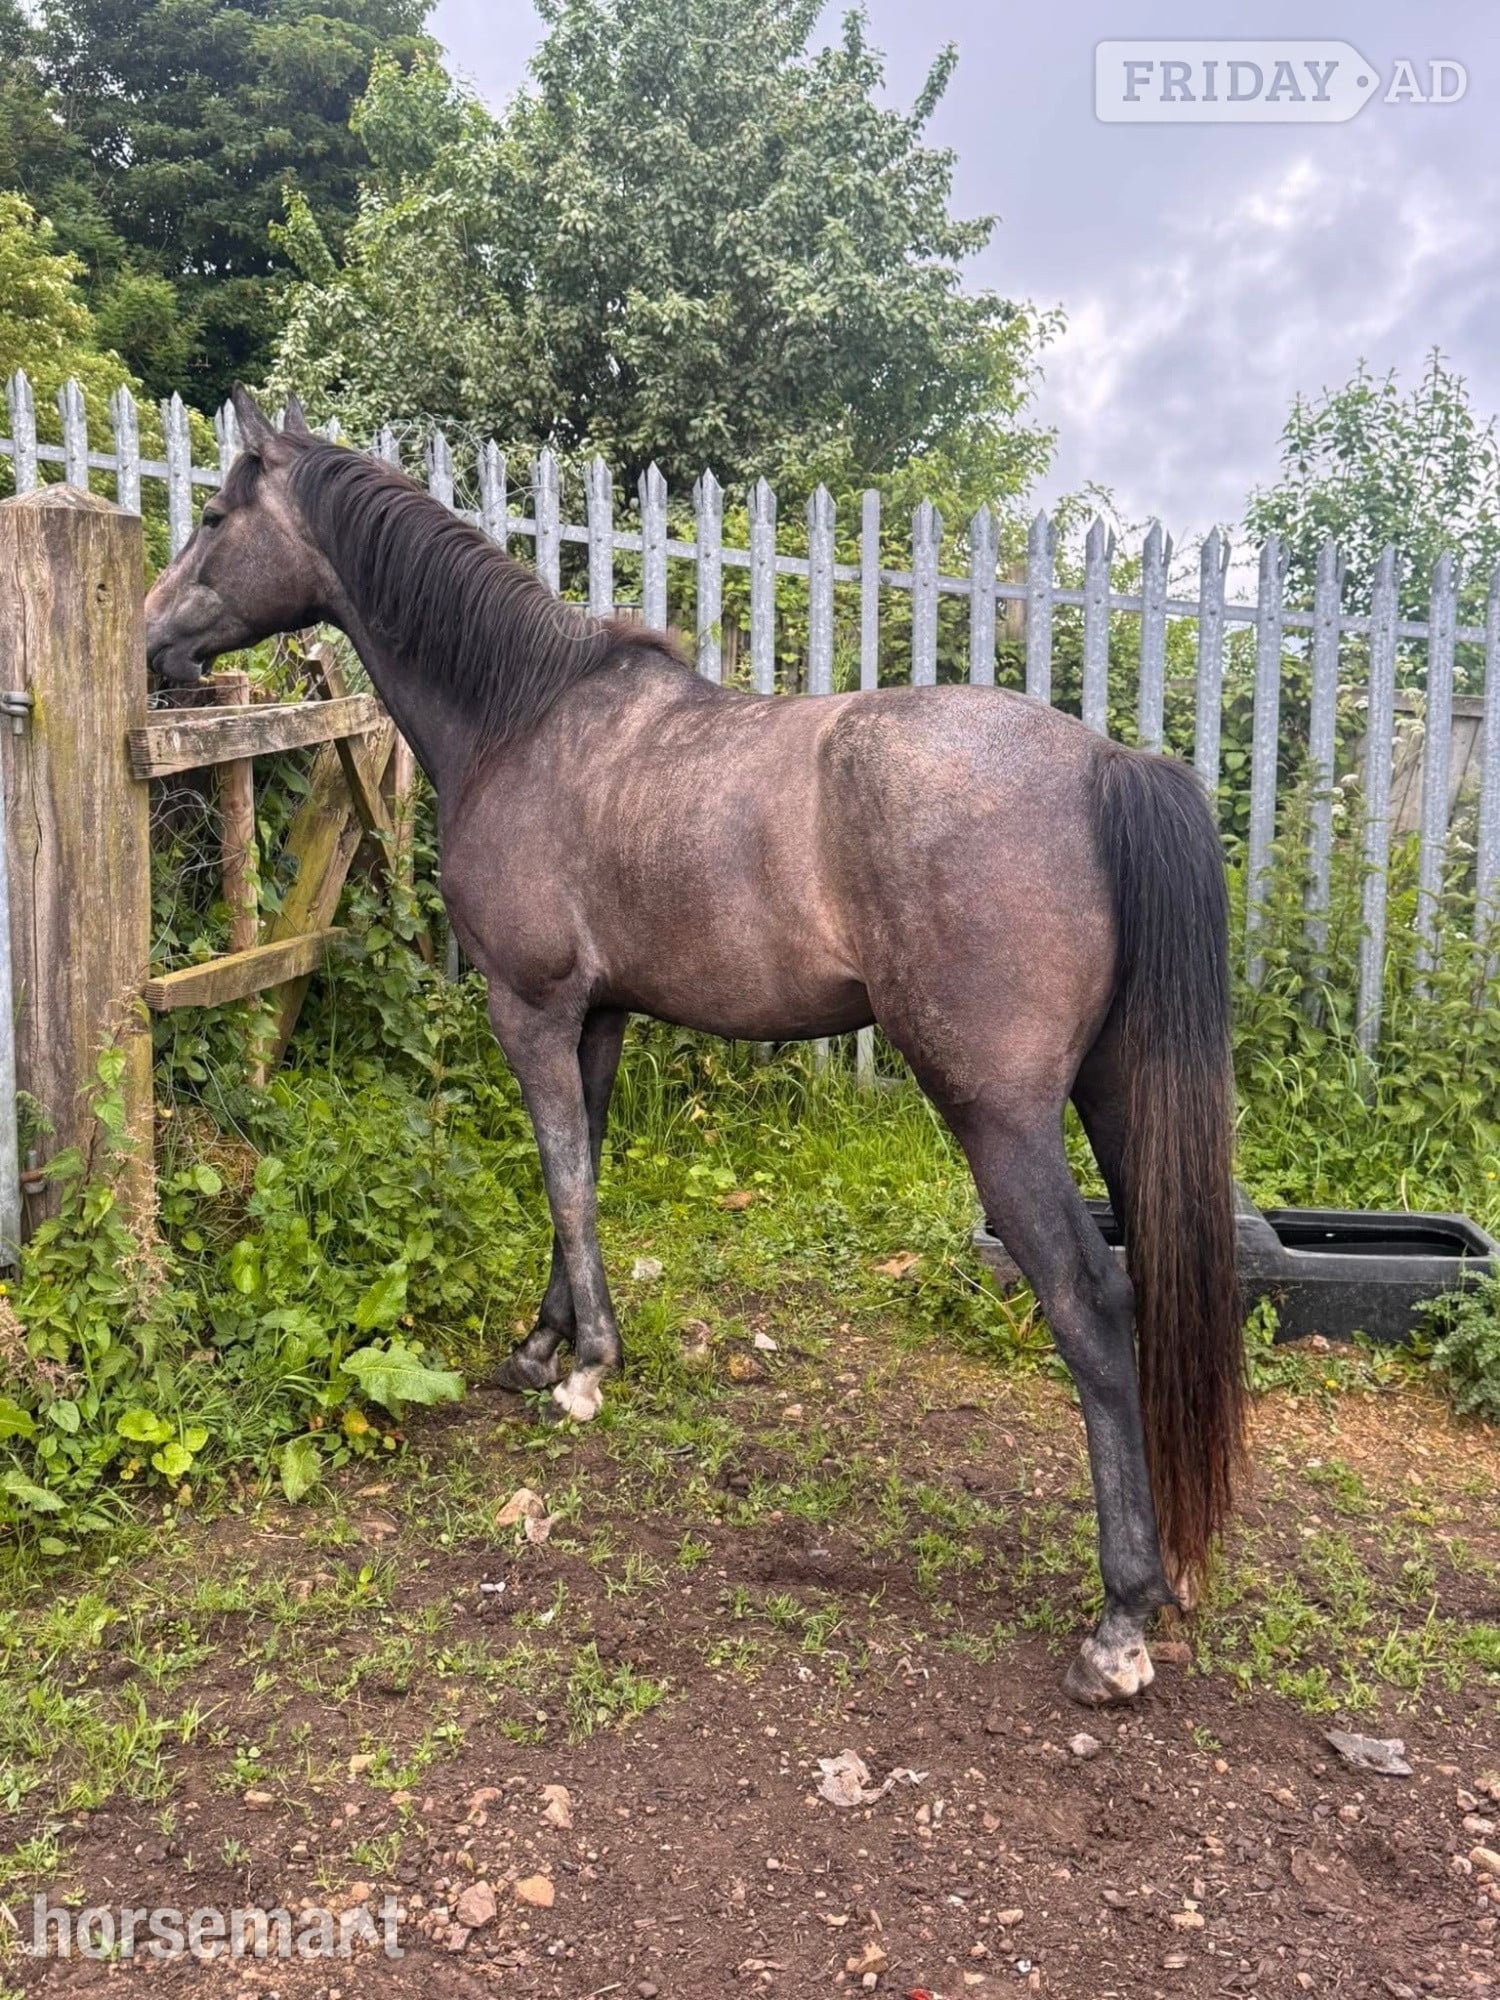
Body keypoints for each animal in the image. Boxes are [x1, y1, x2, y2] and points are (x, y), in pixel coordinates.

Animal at [144, 388, 1245, 1706]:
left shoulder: (530, 1008)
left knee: (1094, 1303)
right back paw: (1173, 1570)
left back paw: (1119, 1618)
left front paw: (585, 1366)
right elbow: (579, 1174)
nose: (153, 645)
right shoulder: (600, 1017)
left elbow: (563, 1174)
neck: (522, 716)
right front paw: (542, 1345)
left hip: (1002, 1116)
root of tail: (1104, 764)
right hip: (1120, 1099)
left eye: (216, 515)